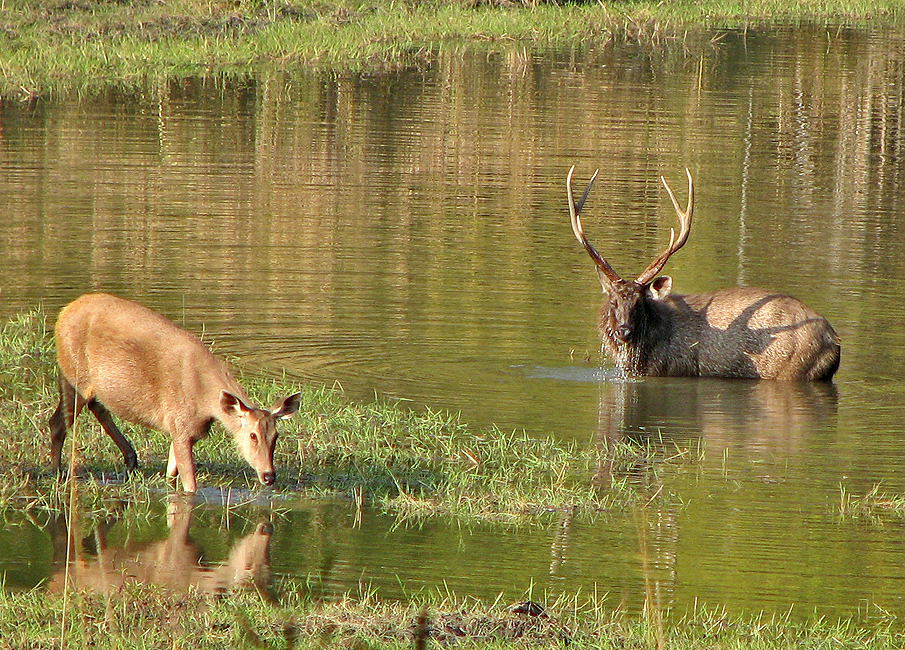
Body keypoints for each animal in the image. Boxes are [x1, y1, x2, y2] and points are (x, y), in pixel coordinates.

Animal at [49, 292, 300, 488]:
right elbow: (191, 485)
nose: (269, 476)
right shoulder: (180, 424)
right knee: (58, 421)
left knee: (95, 406)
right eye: (252, 435)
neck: (205, 402)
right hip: (75, 374)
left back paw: (130, 458)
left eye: (276, 436)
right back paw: (57, 472)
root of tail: (62, 316)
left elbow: (172, 475)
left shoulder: (182, 430)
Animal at [572, 165, 840, 382]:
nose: (624, 330)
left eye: (640, 302)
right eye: (613, 301)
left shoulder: (670, 368)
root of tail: (833, 342)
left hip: (792, 369)